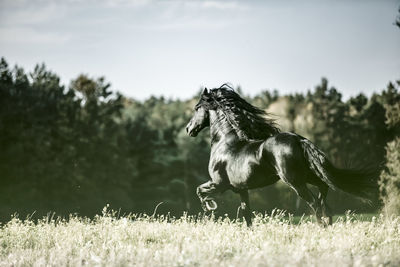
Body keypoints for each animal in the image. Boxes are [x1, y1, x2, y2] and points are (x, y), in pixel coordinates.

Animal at [186, 85, 380, 227]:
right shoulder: (241, 189)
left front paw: (209, 207)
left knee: (314, 203)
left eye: (197, 108)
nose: (189, 129)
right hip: (307, 175)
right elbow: (246, 213)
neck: (225, 142)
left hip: (294, 181)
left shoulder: (219, 184)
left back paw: (322, 226)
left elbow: (199, 191)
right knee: (323, 189)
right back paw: (328, 219)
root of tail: (299, 139)